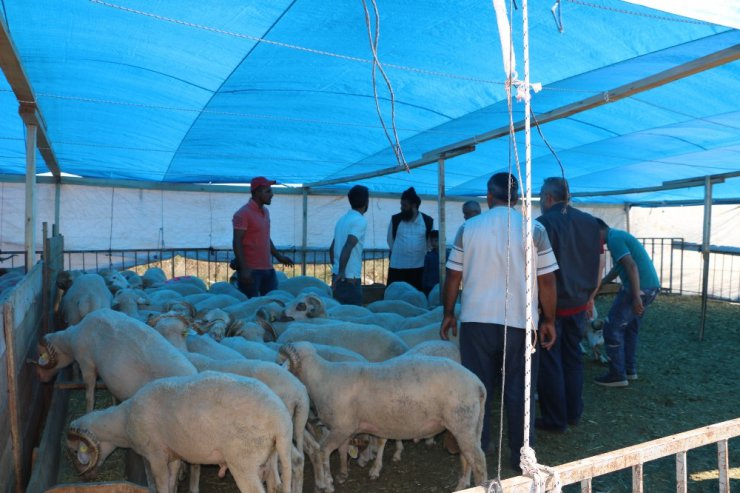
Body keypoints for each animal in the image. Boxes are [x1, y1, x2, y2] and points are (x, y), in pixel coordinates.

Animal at [31, 308, 195, 412]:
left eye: (41, 355)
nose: (39, 376)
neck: (71, 339)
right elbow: (111, 391)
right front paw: (114, 404)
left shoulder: (86, 364)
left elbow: (89, 397)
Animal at [66, 372, 292, 492]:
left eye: (76, 451)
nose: (83, 478)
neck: (123, 422)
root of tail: (281, 420)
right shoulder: (173, 455)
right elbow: (172, 481)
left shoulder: (155, 455)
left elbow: (161, 484)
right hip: (271, 457)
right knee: (275, 485)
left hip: (244, 461)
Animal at [278, 340, 486, 490]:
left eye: (283, 363)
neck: (321, 379)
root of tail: (477, 383)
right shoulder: (345, 428)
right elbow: (344, 450)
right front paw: (343, 474)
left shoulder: (341, 428)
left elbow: (323, 452)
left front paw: (327, 483)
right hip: (471, 426)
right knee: (468, 456)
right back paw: (462, 485)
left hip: (462, 423)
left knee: (479, 460)